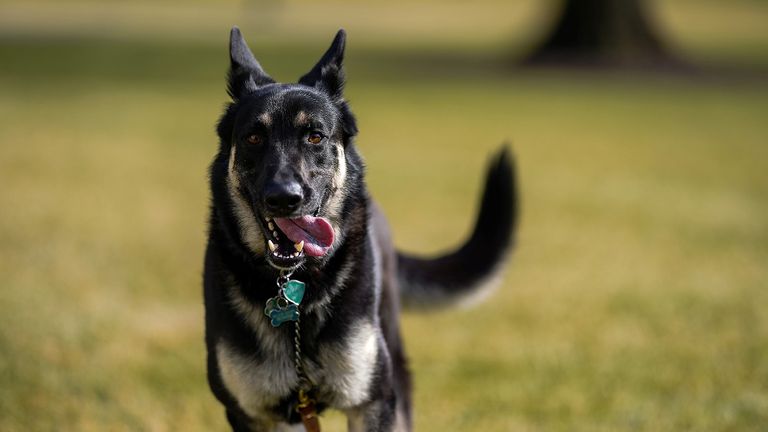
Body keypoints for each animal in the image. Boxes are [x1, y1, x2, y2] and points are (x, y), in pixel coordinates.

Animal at [202, 27, 516, 432]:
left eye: (315, 136)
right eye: (254, 138)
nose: (284, 198)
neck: (297, 293)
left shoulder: (373, 403)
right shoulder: (255, 414)